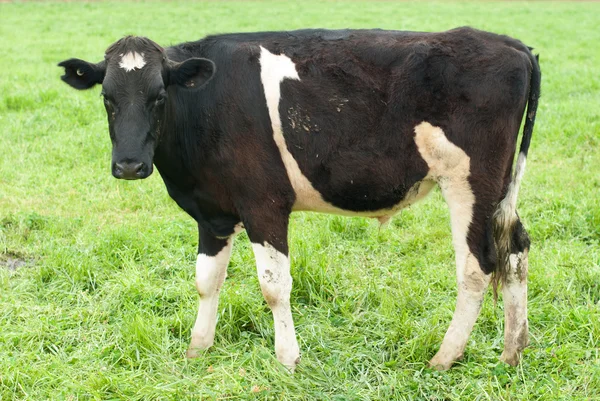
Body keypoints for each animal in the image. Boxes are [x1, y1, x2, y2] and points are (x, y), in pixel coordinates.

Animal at [58, 27, 540, 372]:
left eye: (159, 96)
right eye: (107, 98)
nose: (129, 165)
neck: (205, 107)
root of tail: (510, 44)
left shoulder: (264, 204)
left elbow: (274, 286)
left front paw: (288, 359)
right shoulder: (212, 213)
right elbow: (206, 280)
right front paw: (198, 349)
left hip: (470, 181)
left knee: (477, 266)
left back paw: (445, 357)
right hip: (501, 190)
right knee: (515, 248)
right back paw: (511, 352)